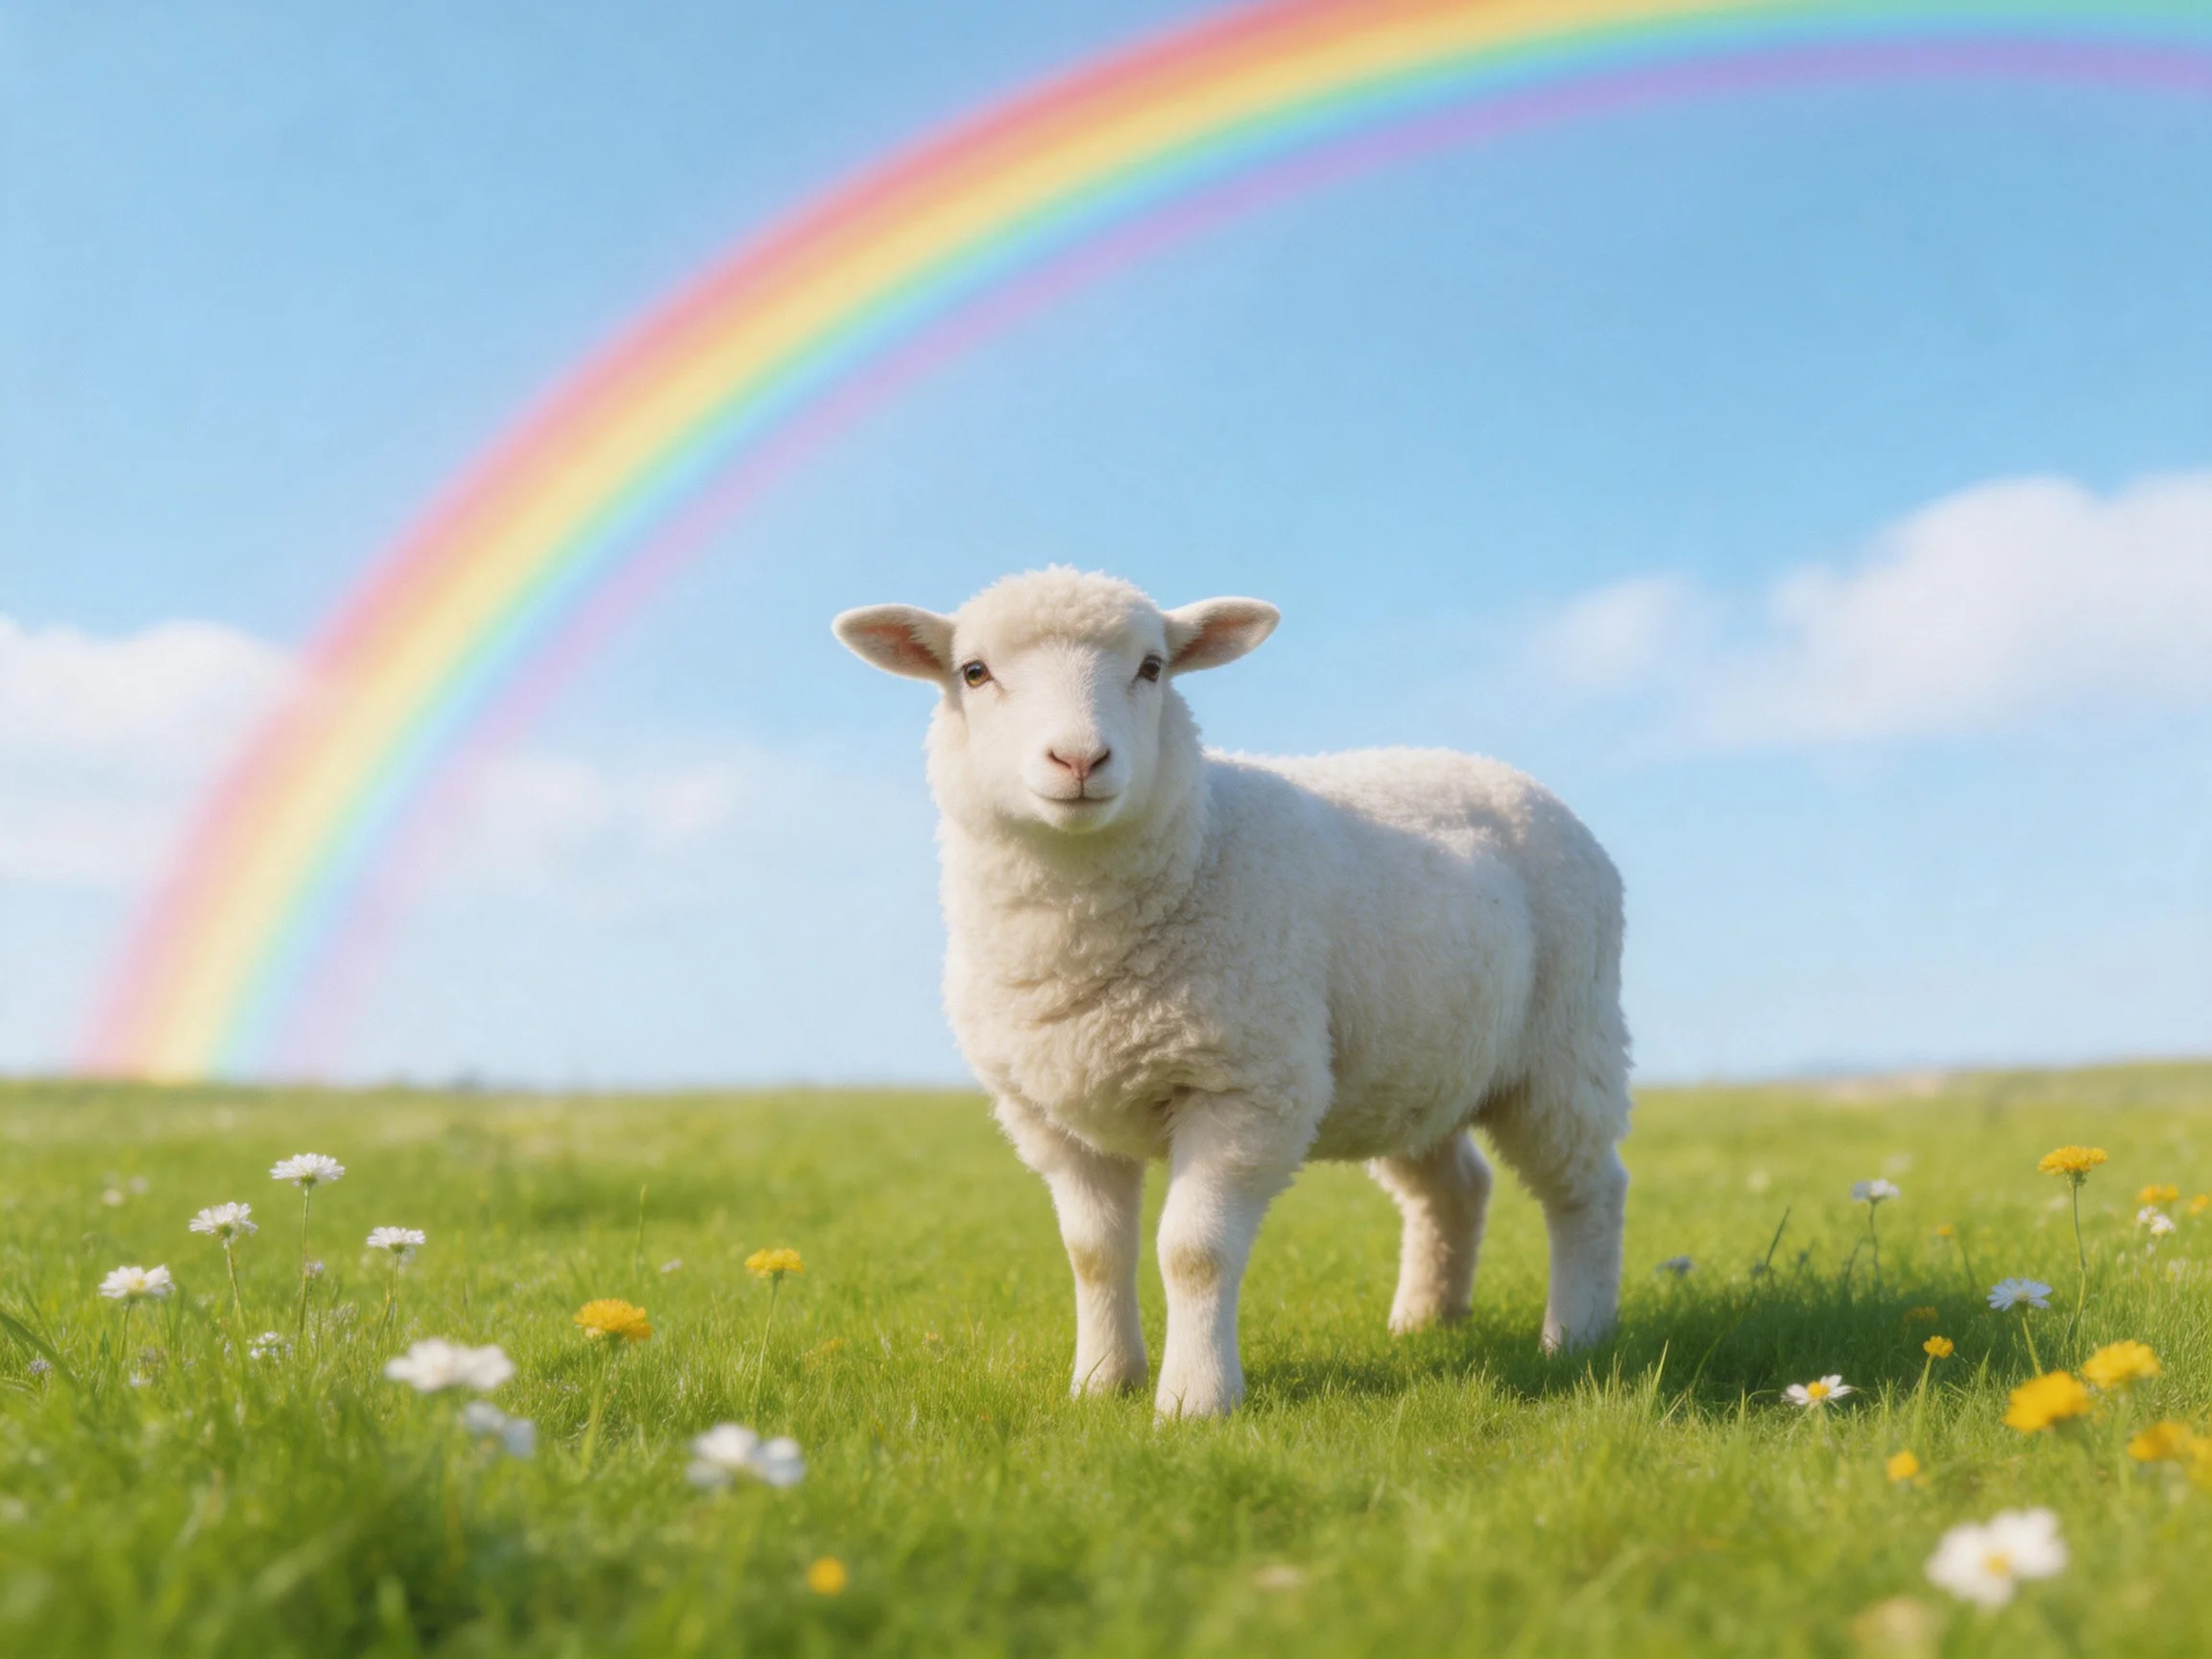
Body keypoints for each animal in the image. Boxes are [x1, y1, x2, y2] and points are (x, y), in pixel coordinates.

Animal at [833, 567, 1632, 1418]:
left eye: (1152, 667)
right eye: (975, 673)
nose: (1079, 759)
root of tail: (1499, 770)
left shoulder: (1246, 1087)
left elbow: (1194, 1251)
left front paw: (1195, 1400)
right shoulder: (1051, 1114)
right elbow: (1092, 1252)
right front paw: (1101, 1383)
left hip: (1566, 1044)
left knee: (1588, 1190)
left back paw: (1576, 1336)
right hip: (1411, 1063)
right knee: (1454, 1189)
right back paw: (1426, 1320)